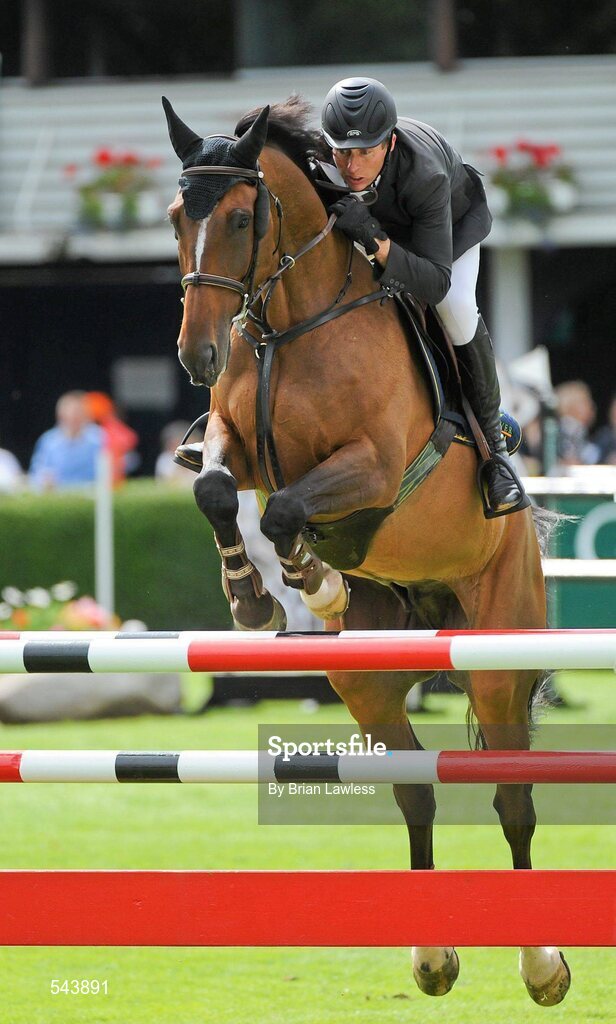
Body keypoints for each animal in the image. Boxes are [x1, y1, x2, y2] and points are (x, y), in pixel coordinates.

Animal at [162, 96, 570, 1006]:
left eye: (239, 218)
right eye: (175, 218)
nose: (199, 357)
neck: (292, 323)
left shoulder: (373, 465)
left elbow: (285, 506)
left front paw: (311, 579)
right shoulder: (234, 440)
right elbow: (219, 491)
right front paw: (256, 596)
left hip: (497, 654)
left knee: (514, 799)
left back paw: (543, 966)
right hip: (368, 676)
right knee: (417, 791)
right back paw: (432, 957)